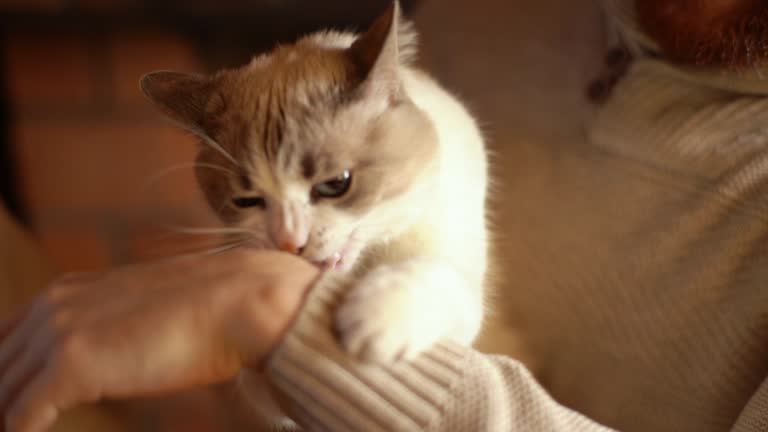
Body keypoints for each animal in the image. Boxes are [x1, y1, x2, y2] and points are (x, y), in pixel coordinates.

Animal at [141, 0, 488, 426]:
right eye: (246, 200)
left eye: (336, 184)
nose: (290, 242)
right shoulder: (265, 402)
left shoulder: (457, 279)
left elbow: (434, 275)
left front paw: (372, 320)